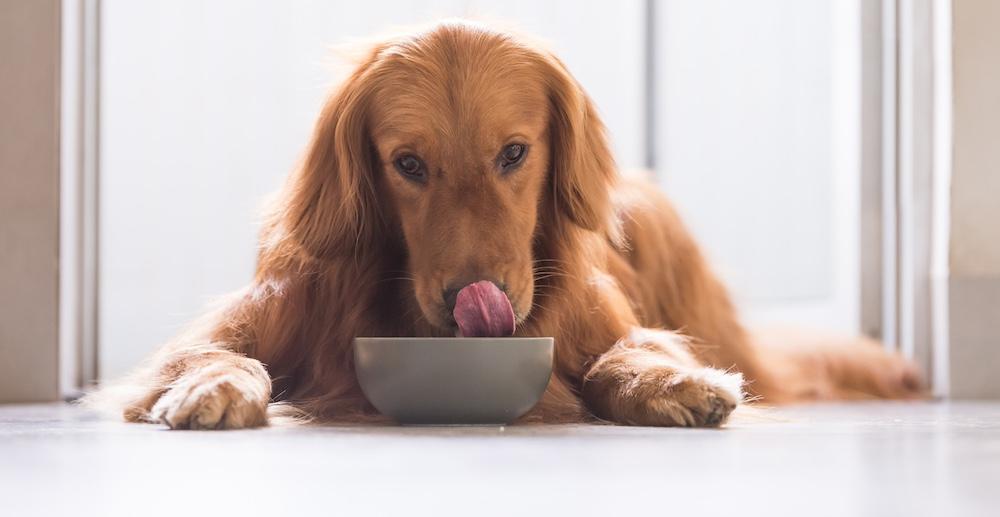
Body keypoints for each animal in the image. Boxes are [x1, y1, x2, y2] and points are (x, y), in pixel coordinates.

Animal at [92, 22, 920, 430]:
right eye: (408, 163)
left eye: (515, 152)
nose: (473, 298)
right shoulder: (260, 313)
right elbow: (211, 353)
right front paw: (213, 384)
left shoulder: (602, 322)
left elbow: (622, 354)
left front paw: (666, 379)